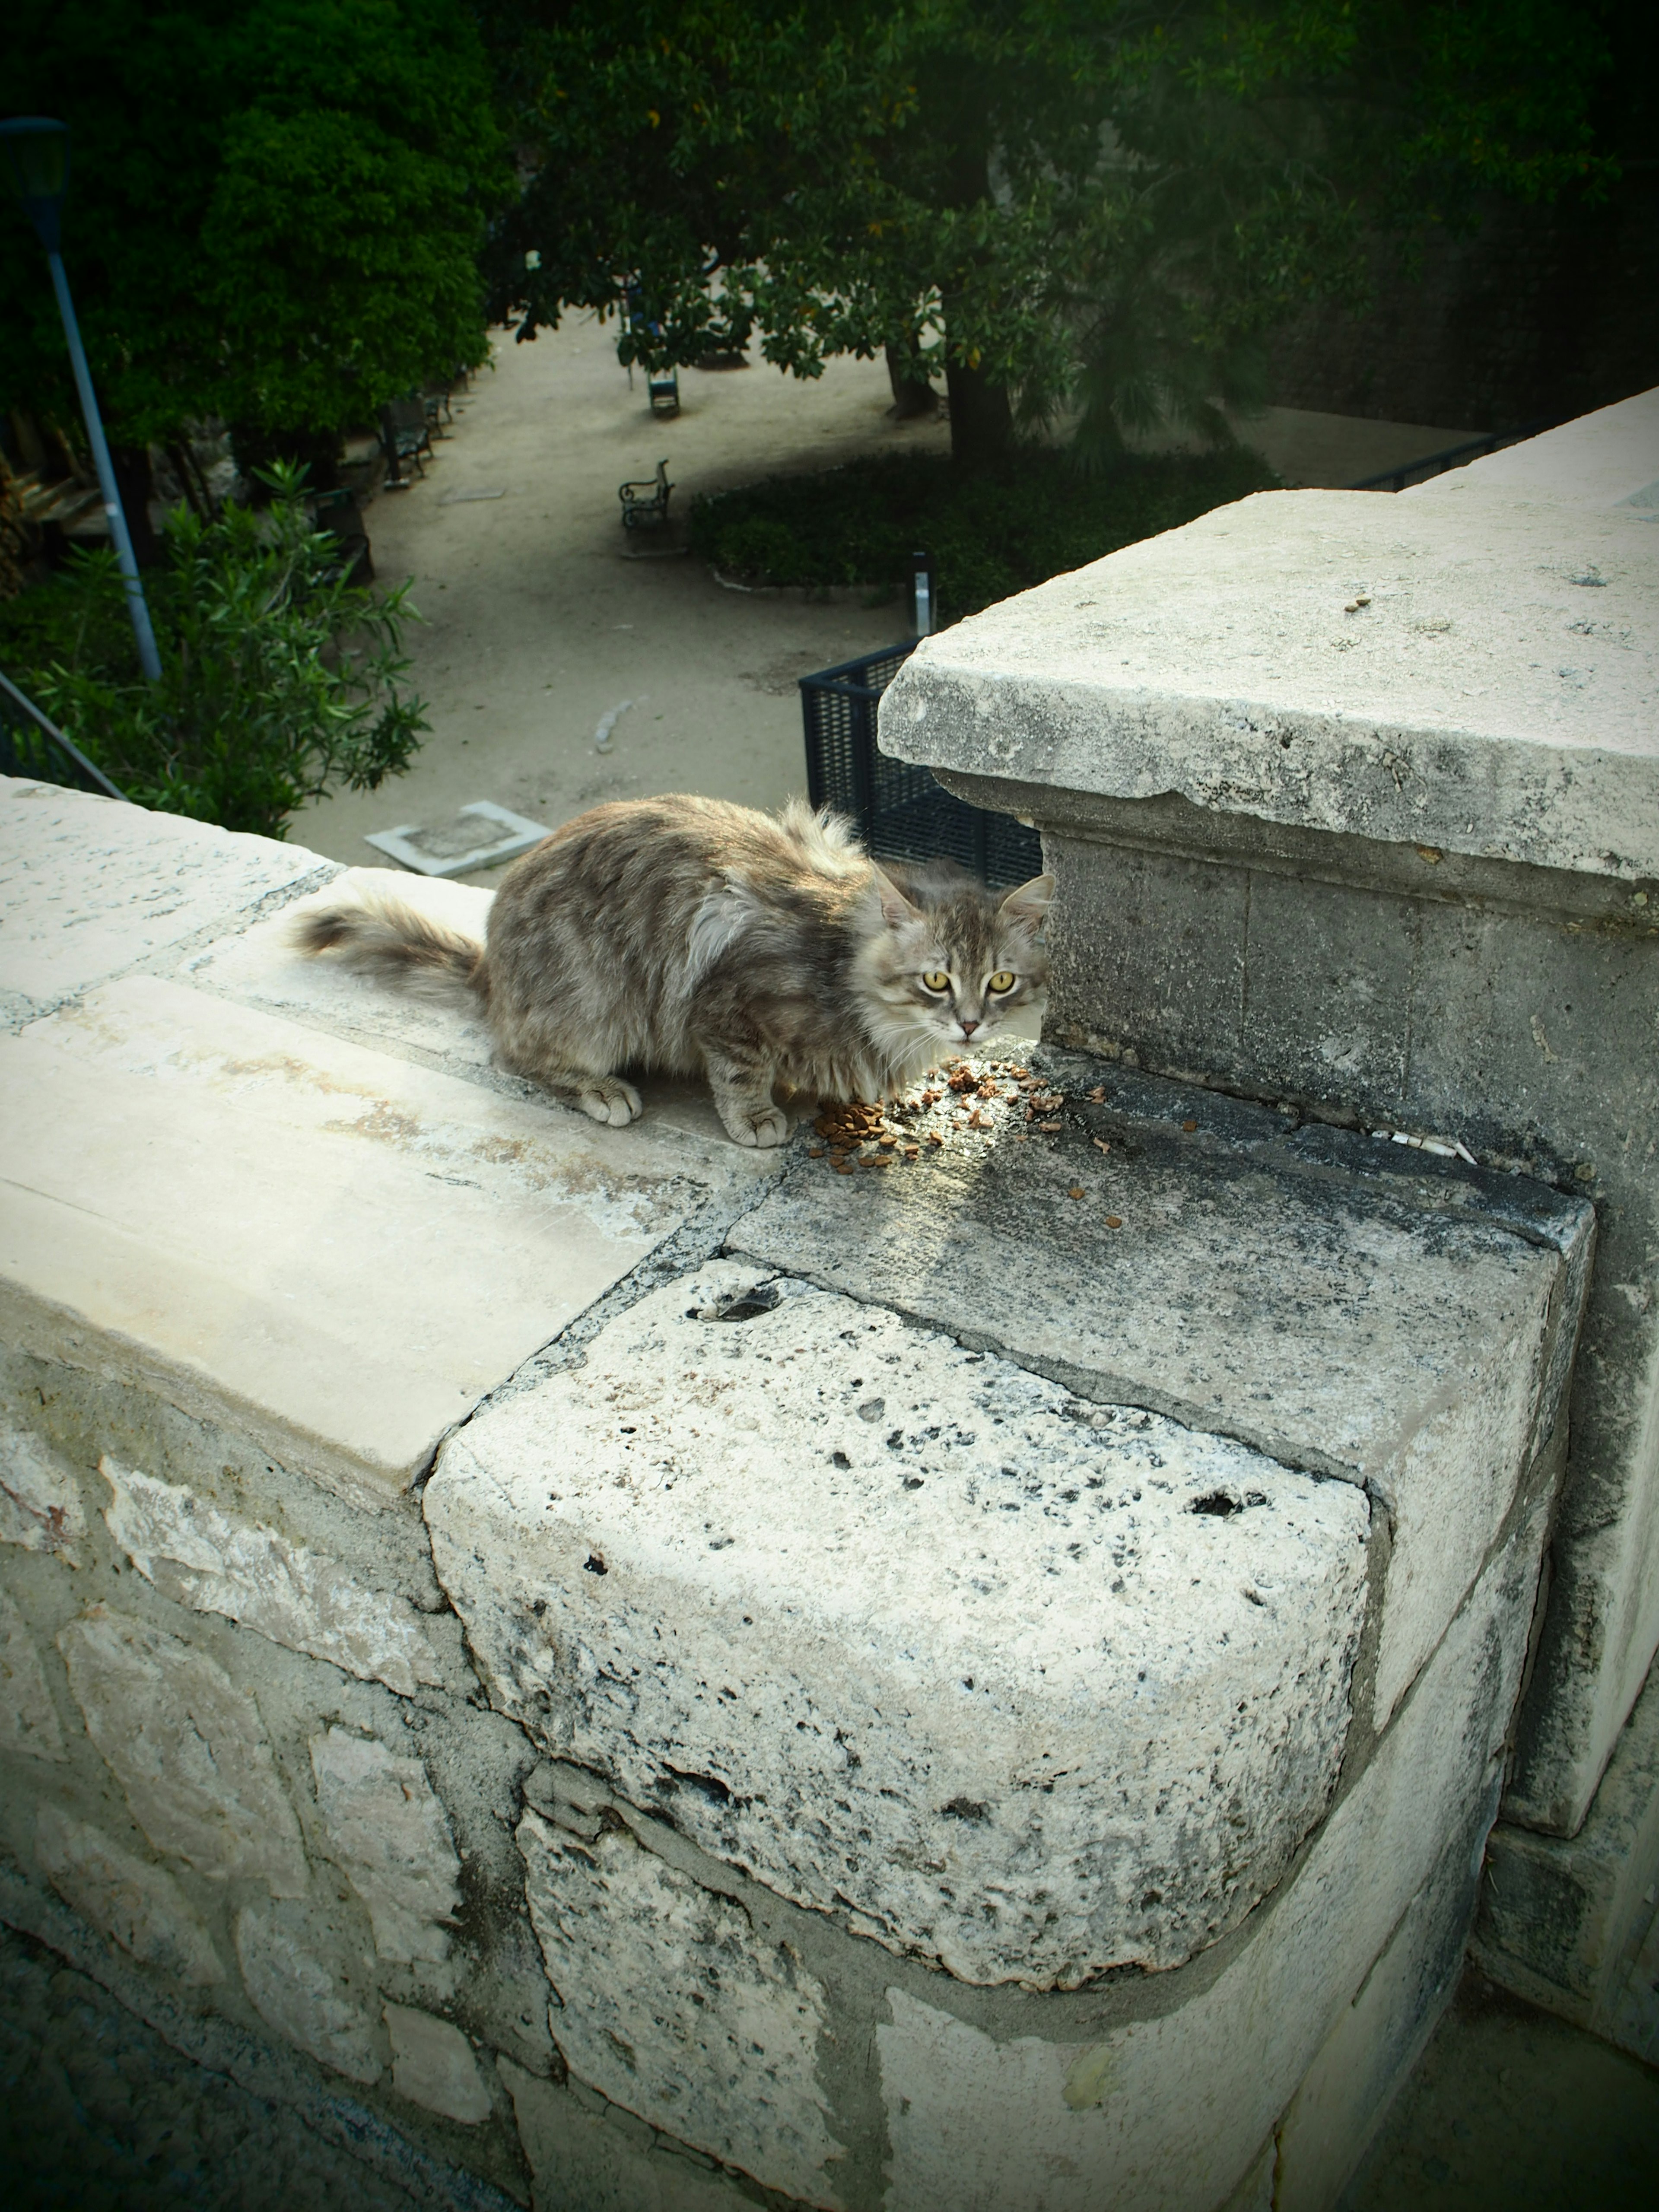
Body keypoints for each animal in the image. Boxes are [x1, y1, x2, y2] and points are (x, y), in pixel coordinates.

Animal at [294, 791, 1053, 1141]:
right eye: (936, 980)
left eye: (1001, 982)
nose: (970, 1026)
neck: (842, 955)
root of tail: (493, 969)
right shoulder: (726, 1004)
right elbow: (740, 1074)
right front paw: (757, 1119)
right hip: (594, 1005)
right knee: (515, 1056)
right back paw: (602, 1090)